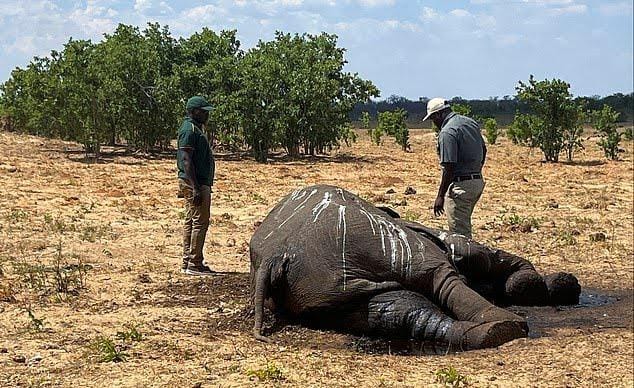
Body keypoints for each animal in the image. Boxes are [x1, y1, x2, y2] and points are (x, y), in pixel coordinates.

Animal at [248, 185, 576, 352]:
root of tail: (277, 254)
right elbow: (482, 255)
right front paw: (543, 285)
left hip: (321, 289)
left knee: (396, 311)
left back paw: (488, 333)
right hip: (377, 242)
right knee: (440, 277)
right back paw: (505, 327)